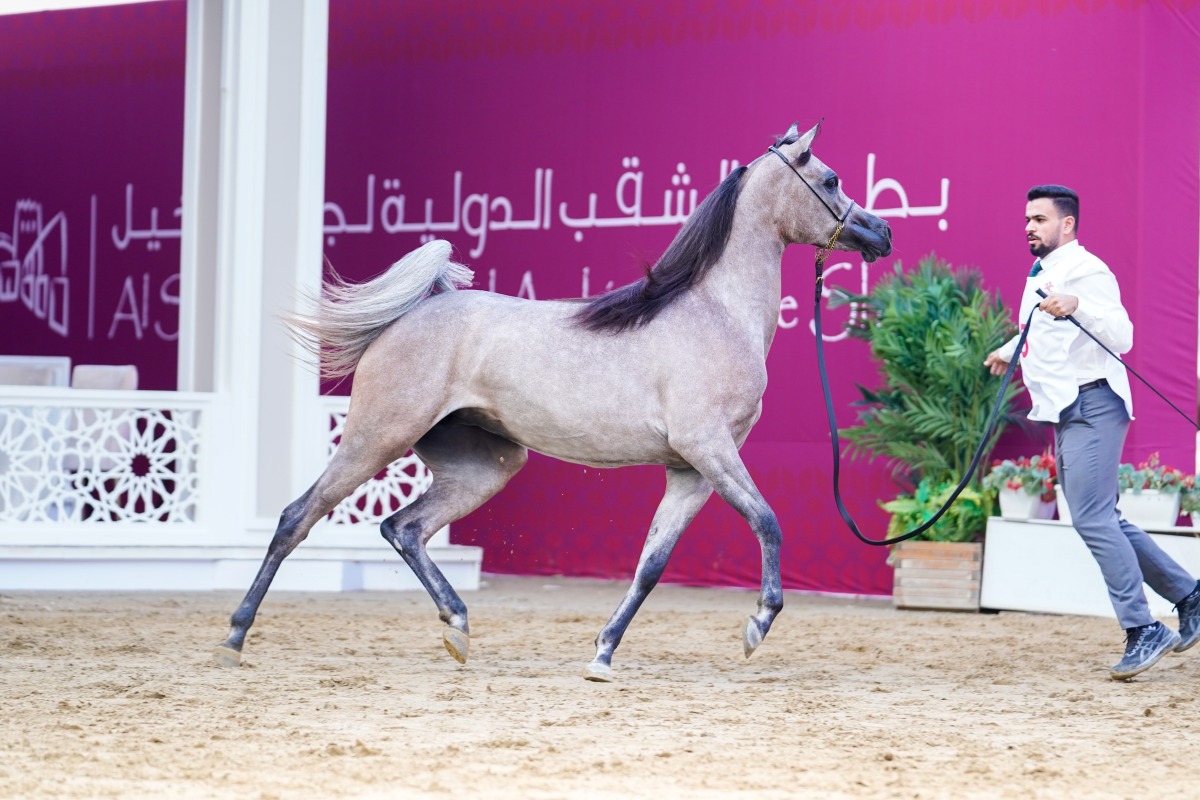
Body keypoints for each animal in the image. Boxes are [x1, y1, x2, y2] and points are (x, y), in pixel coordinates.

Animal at [216, 120, 892, 681]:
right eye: (831, 179)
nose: (881, 232)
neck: (717, 314)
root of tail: (407, 317)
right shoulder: (711, 449)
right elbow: (768, 522)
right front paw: (757, 624)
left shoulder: (691, 471)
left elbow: (651, 565)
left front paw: (603, 654)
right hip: (374, 438)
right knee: (296, 517)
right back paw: (234, 638)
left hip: (485, 466)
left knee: (401, 527)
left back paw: (458, 628)